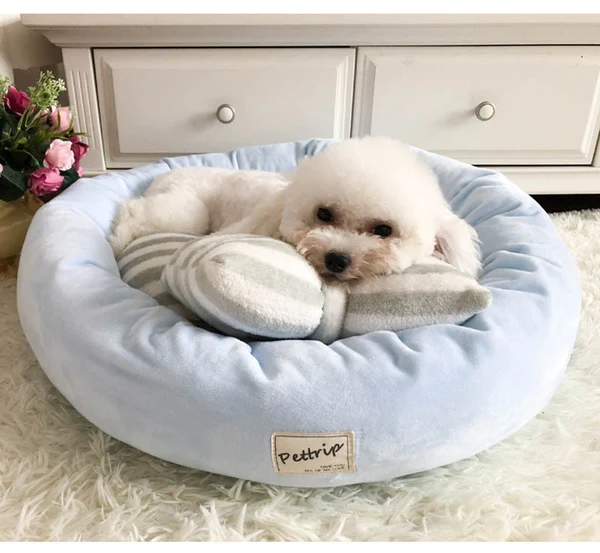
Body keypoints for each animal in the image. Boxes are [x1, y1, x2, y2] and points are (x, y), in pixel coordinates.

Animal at [110, 134, 480, 280]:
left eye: (384, 230)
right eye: (324, 213)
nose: (336, 259)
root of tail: (163, 175)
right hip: (189, 212)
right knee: (133, 210)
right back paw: (118, 239)